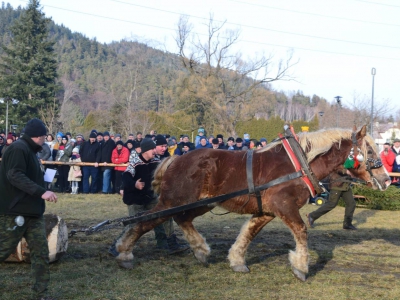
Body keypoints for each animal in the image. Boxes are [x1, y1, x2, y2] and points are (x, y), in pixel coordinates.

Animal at [115, 125, 390, 280]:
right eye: (370, 151)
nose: (387, 179)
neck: (300, 165)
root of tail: (175, 159)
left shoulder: (266, 211)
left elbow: (248, 233)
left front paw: (237, 260)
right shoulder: (284, 206)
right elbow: (301, 230)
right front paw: (301, 267)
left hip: (201, 203)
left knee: (183, 219)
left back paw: (201, 250)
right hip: (175, 199)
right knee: (147, 221)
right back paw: (124, 252)